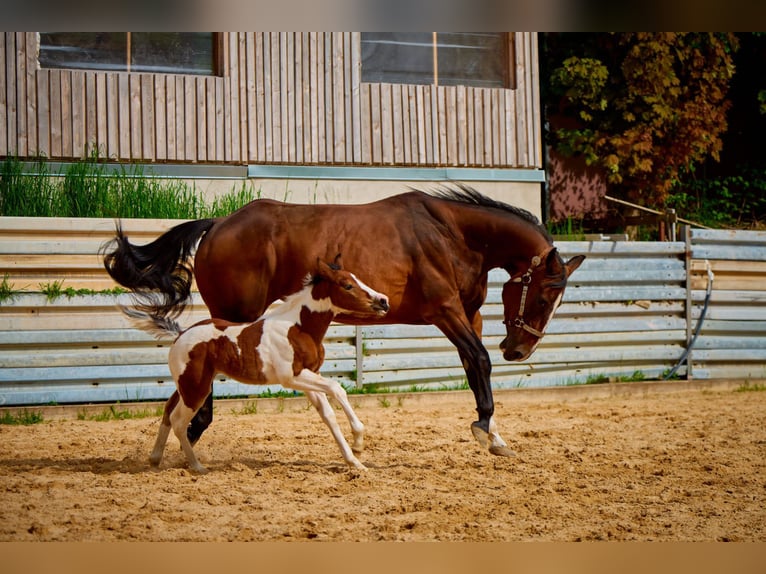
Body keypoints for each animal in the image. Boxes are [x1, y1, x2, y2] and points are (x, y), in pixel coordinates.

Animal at [126, 258, 392, 474]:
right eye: (347, 285)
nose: (383, 301)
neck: (299, 327)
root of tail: (180, 335)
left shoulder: (310, 377)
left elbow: (328, 416)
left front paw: (355, 462)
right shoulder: (292, 377)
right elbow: (338, 389)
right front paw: (358, 443)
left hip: (188, 385)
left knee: (168, 411)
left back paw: (155, 459)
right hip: (196, 389)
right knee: (179, 421)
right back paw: (197, 466)